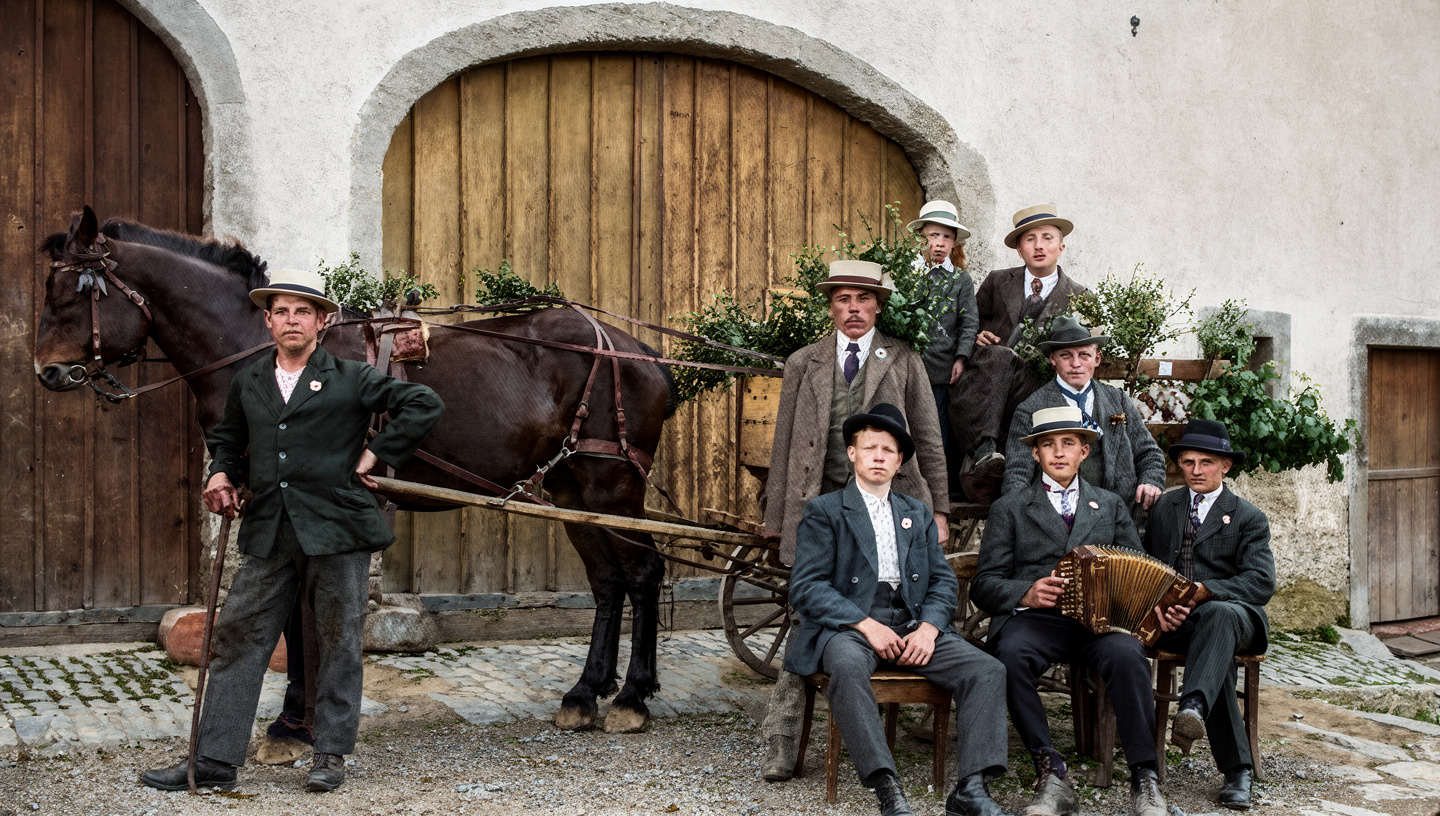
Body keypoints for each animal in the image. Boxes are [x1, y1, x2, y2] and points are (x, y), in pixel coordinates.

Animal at [35, 206, 675, 734]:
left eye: (72, 294)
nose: (46, 371)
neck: (266, 350)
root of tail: (640, 352)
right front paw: (294, 722)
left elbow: (308, 615)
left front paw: (299, 722)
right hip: (573, 491)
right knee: (607, 581)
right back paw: (586, 693)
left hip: (612, 485)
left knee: (643, 572)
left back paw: (632, 698)